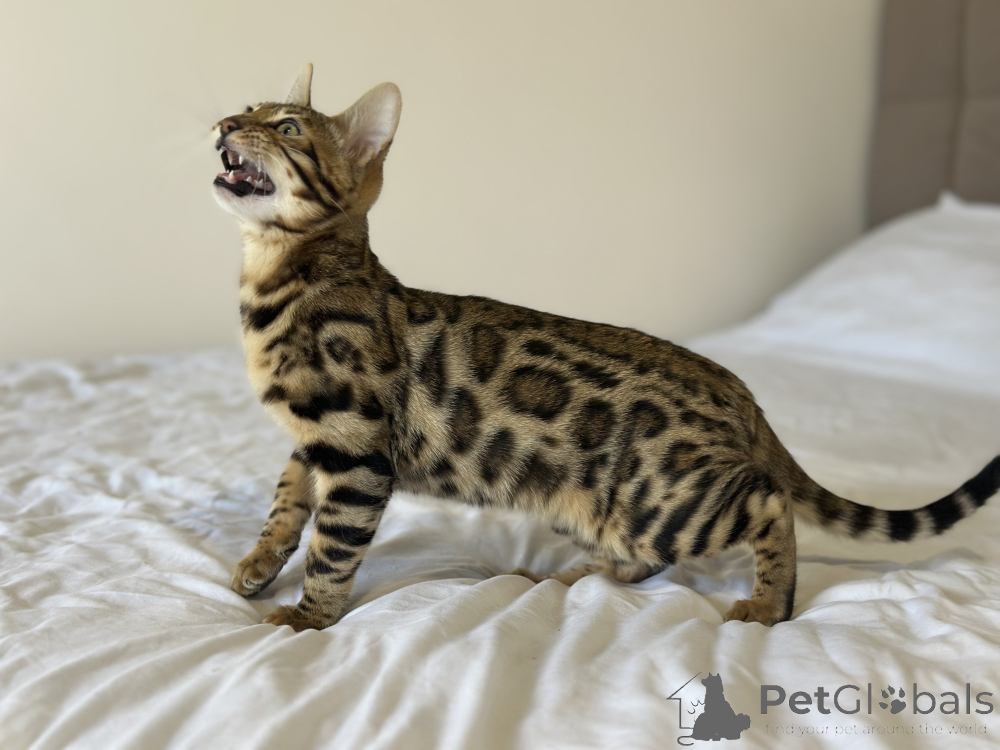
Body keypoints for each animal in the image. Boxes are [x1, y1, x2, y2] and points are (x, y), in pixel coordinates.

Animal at [212, 64, 1000, 631]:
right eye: (247, 109)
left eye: (287, 127)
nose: (223, 121)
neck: (275, 280)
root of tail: (741, 394)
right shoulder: (315, 440)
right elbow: (287, 503)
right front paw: (258, 564)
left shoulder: (357, 447)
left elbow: (333, 546)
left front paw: (308, 616)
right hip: (599, 508)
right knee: (652, 557)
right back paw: (582, 577)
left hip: (662, 501)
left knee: (769, 501)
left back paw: (770, 603)